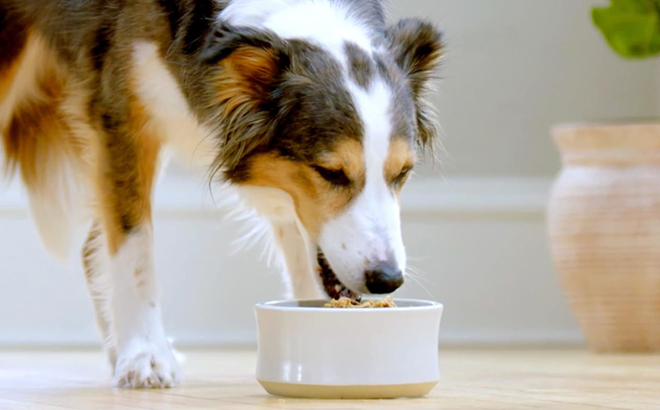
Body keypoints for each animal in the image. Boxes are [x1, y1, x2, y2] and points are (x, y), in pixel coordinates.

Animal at [0, 0, 444, 388]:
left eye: (403, 172)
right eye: (330, 173)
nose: (387, 280)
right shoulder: (121, 115)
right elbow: (134, 248)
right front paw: (145, 355)